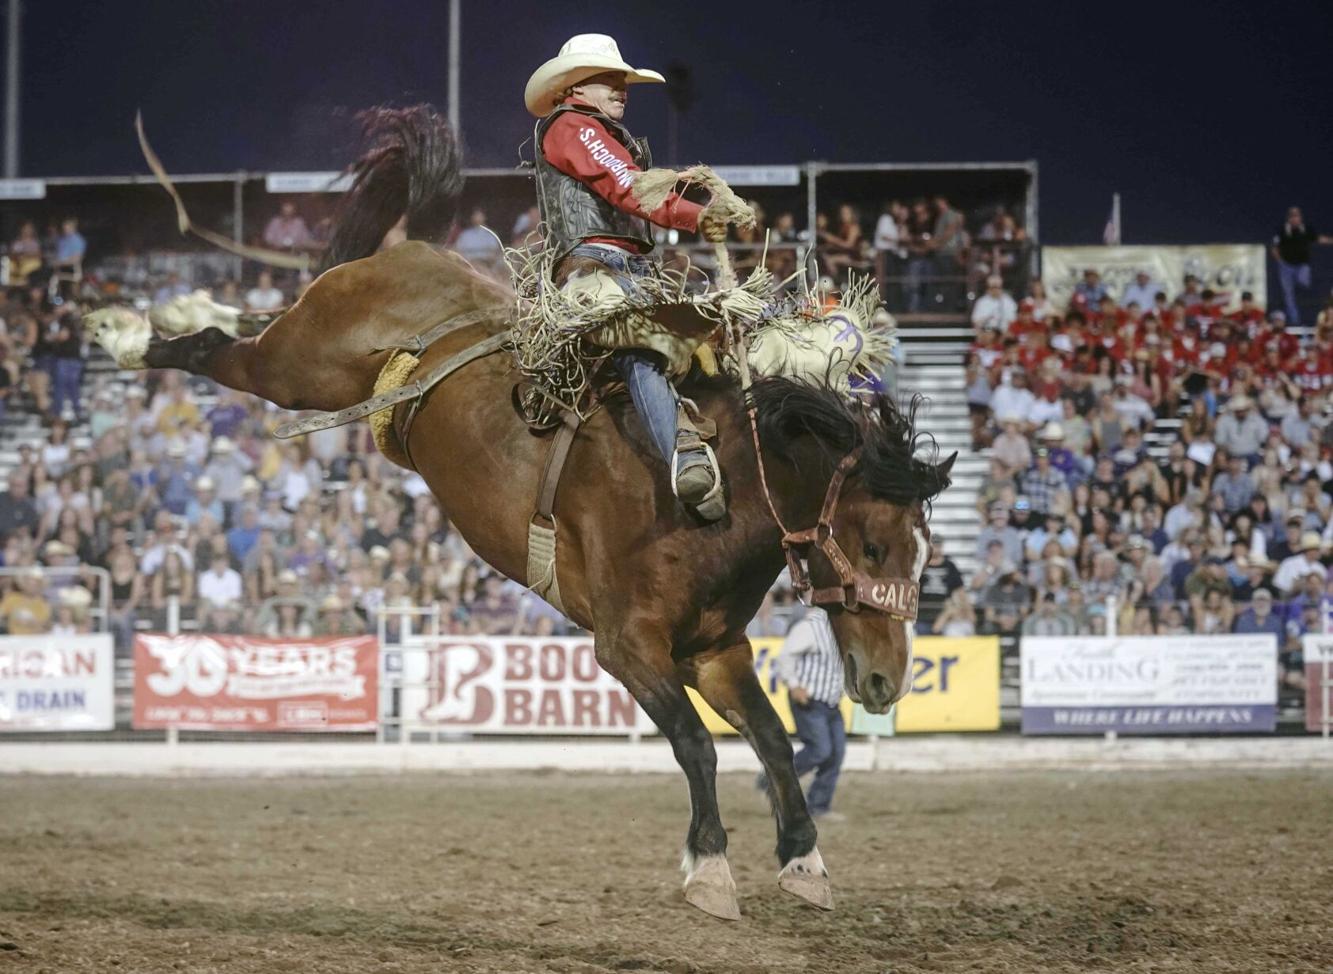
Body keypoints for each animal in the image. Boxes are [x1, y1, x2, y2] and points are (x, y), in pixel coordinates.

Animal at [83, 108, 954, 922]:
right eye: (871, 545)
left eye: (924, 555)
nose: (884, 680)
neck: (716, 504)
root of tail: (409, 251)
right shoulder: (627, 647)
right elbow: (695, 746)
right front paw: (708, 868)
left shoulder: (714, 651)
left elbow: (771, 737)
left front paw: (804, 860)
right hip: (299, 366)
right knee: (214, 349)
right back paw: (125, 331)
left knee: (235, 327)